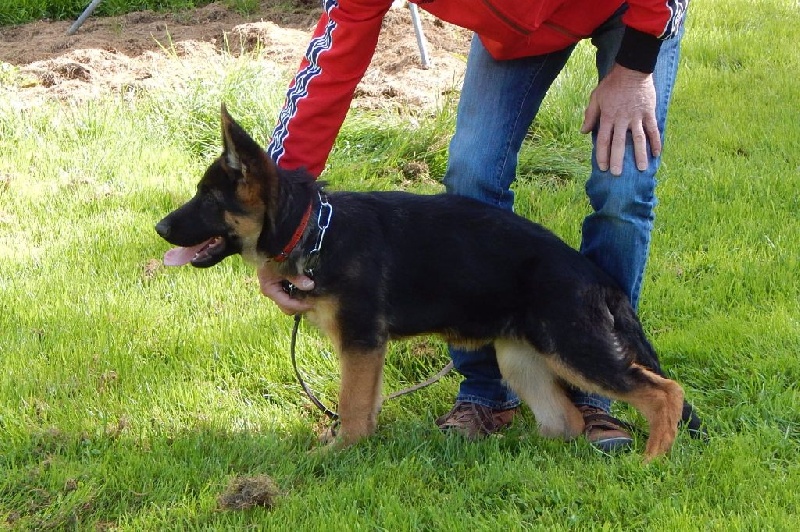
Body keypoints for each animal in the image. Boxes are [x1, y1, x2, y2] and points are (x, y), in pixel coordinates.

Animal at [155, 105, 700, 462]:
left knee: (664, 393)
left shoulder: (362, 341)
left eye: (207, 199)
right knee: (564, 420)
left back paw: (652, 460)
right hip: (521, 357)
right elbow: (363, 405)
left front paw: (335, 455)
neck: (314, 227)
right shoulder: (365, 349)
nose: (159, 230)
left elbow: (352, 407)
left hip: (573, 347)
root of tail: (597, 278)